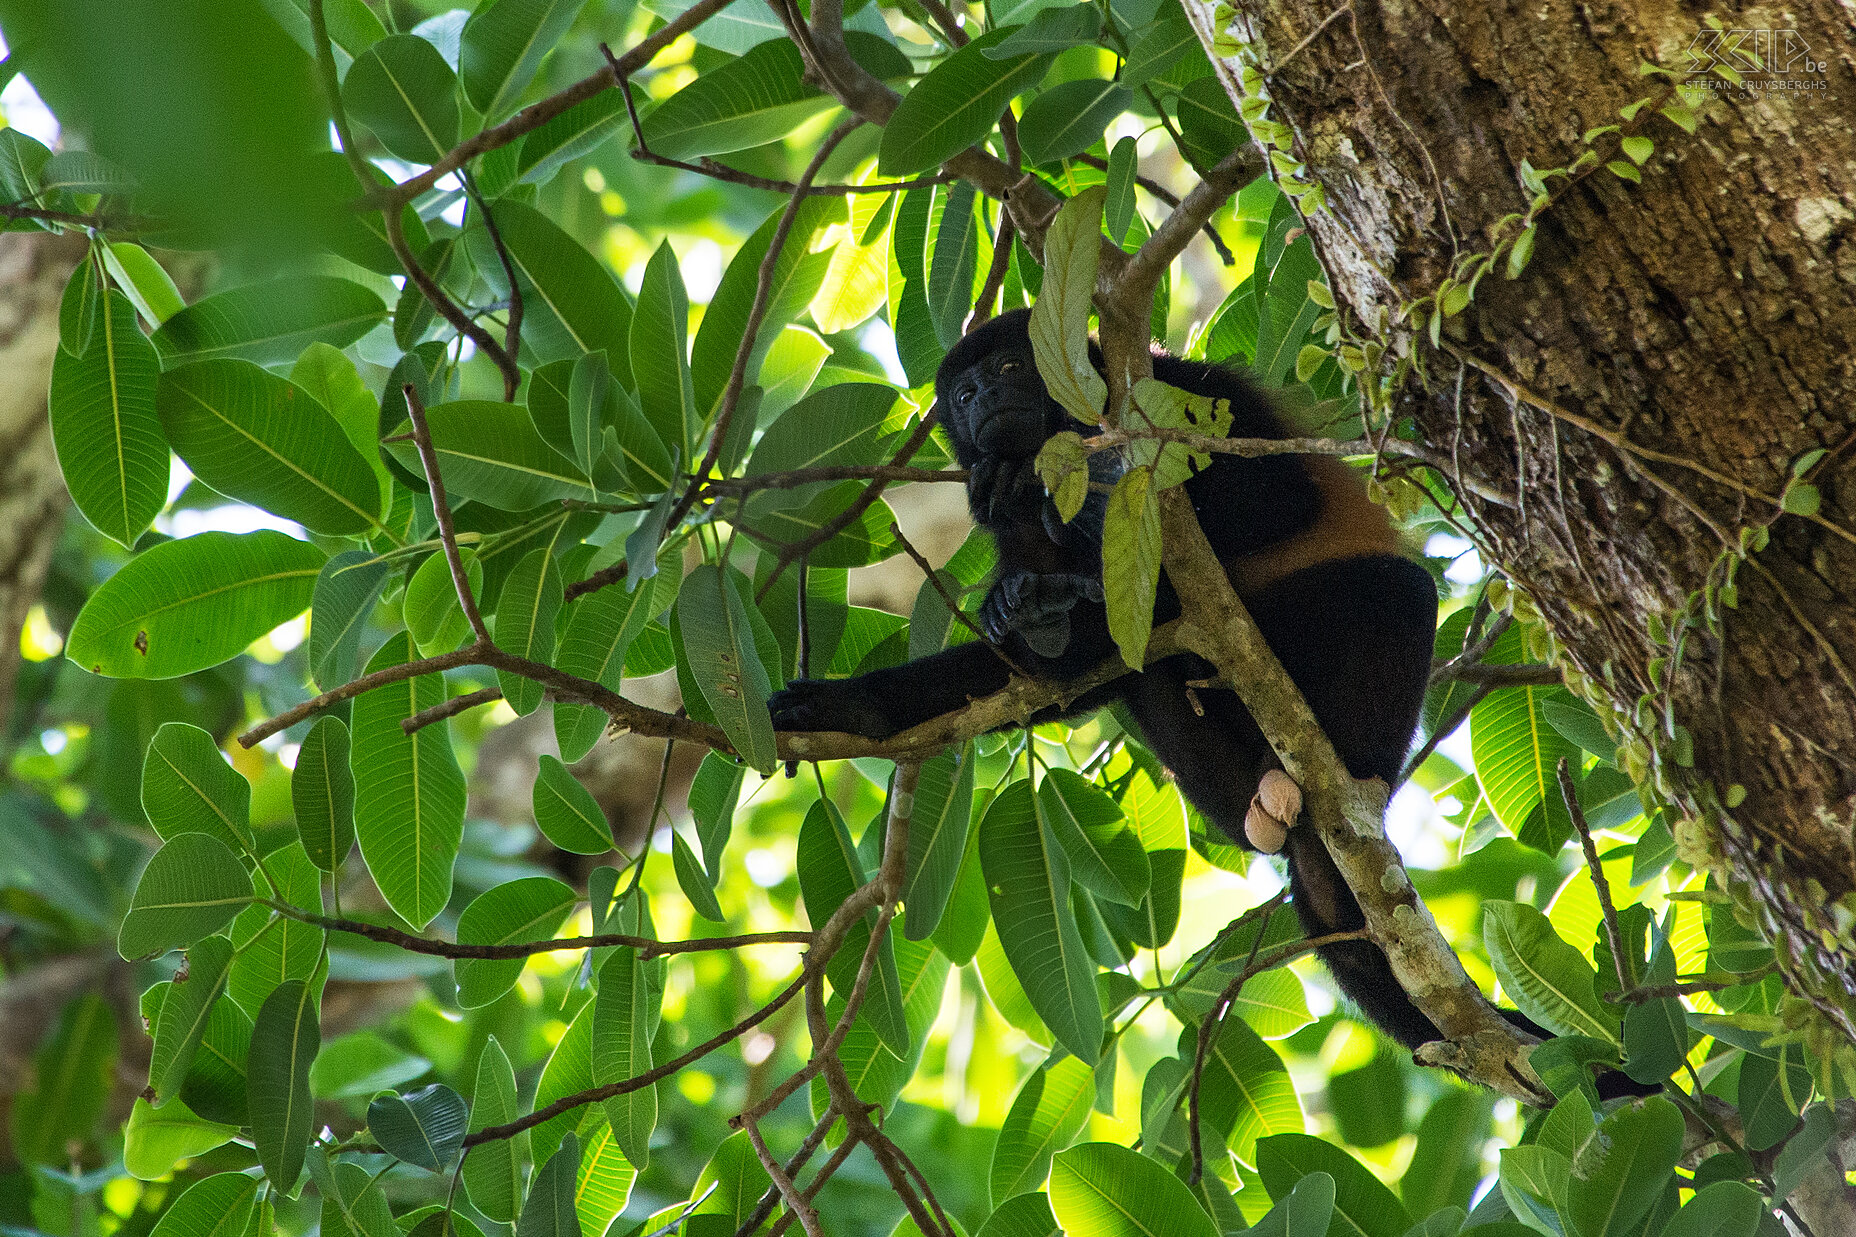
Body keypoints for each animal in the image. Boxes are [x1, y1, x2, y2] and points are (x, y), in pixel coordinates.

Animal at [760, 306, 1469, 1047]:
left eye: (1009, 367)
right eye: (963, 393)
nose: (985, 398)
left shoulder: (1181, 390)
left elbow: (1276, 499)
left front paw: (1058, 483)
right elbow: (1046, 671)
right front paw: (847, 705)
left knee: (1401, 589)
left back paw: (1357, 777)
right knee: (1137, 668)